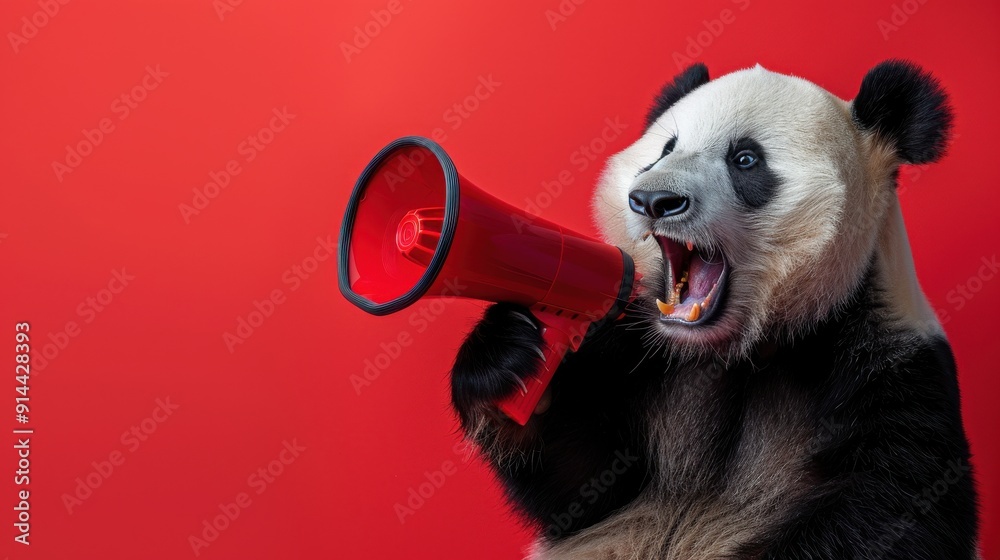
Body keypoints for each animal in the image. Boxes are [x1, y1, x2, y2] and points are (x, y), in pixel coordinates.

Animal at [449, 61, 978, 559]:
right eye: (665, 149)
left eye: (745, 159)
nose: (654, 200)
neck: (735, 351)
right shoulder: (638, 350)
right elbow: (583, 486)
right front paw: (506, 356)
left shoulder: (890, 368)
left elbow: (892, 510)